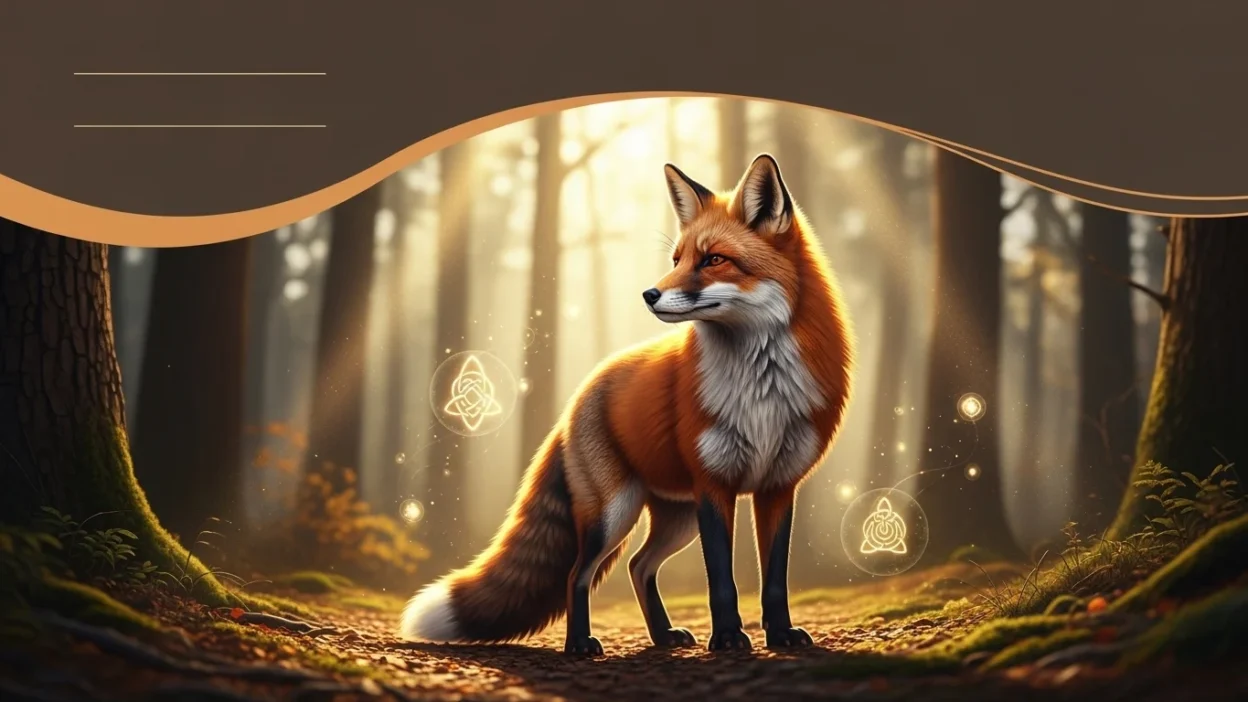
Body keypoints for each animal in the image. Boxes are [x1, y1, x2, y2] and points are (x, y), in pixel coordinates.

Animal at [400, 153, 854, 655]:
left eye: (714, 259)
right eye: (677, 260)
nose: (649, 294)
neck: (761, 391)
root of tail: (578, 396)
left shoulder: (777, 487)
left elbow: (774, 579)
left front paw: (780, 635)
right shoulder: (714, 487)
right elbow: (721, 581)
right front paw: (728, 638)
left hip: (677, 518)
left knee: (638, 565)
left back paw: (662, 636)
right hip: (615, 513)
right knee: (578, 575)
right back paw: (579, 645)